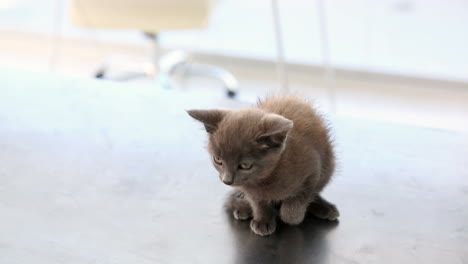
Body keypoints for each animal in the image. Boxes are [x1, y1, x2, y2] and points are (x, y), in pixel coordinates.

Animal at [188, 96, 338, 236]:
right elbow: (258, 203)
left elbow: (294, 209)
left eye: (245, 165)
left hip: (328, 166)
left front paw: (291, 214)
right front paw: (263, 221)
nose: (227, 180)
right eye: (218, 160)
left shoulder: (313, 172)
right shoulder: (251, 191)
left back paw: (326, 208)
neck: (266, 178)